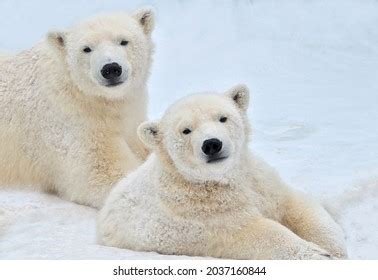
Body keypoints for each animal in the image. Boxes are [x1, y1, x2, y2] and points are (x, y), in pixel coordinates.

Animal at [0, 7, 155, 208]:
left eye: (123, 41)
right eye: (86, 49)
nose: (111, 69)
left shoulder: (130, 116)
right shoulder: (70, 119)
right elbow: (100, 171)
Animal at [98, 84, 348, 260]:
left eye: (222, 117)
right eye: (186, 130)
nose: (211, 144)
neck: (224, 179)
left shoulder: (260, 179)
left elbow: (296, 205)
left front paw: (335, 247)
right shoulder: (204, 214)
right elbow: (258, 232)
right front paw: (318, 255)